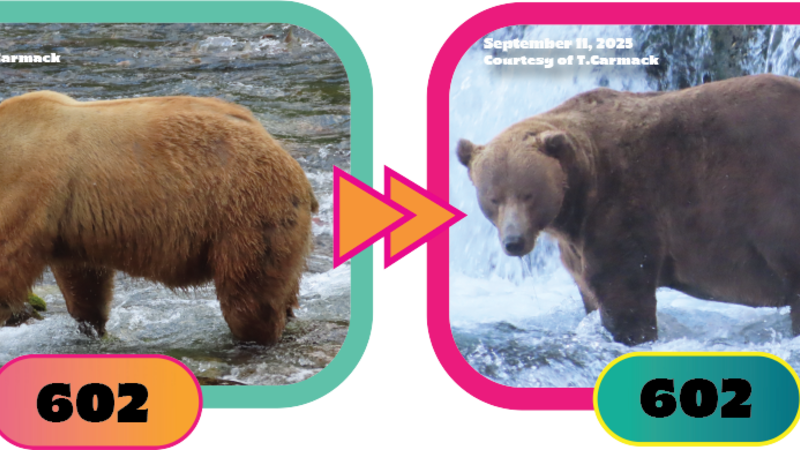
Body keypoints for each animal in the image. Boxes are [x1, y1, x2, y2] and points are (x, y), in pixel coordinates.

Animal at [0, 90, 318, 345]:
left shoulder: (28, 187)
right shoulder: (67, 225)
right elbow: (85, 282)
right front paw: (92, 327)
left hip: (245, 214)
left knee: (249, 300)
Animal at [457, 73, 800, 346]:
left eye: (527, 194)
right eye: (493, 198)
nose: (514, 242)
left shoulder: (625, 205)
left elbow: (623, 288)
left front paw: (630, 335)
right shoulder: (576, 244)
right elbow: (589, 290)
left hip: (773, 198)